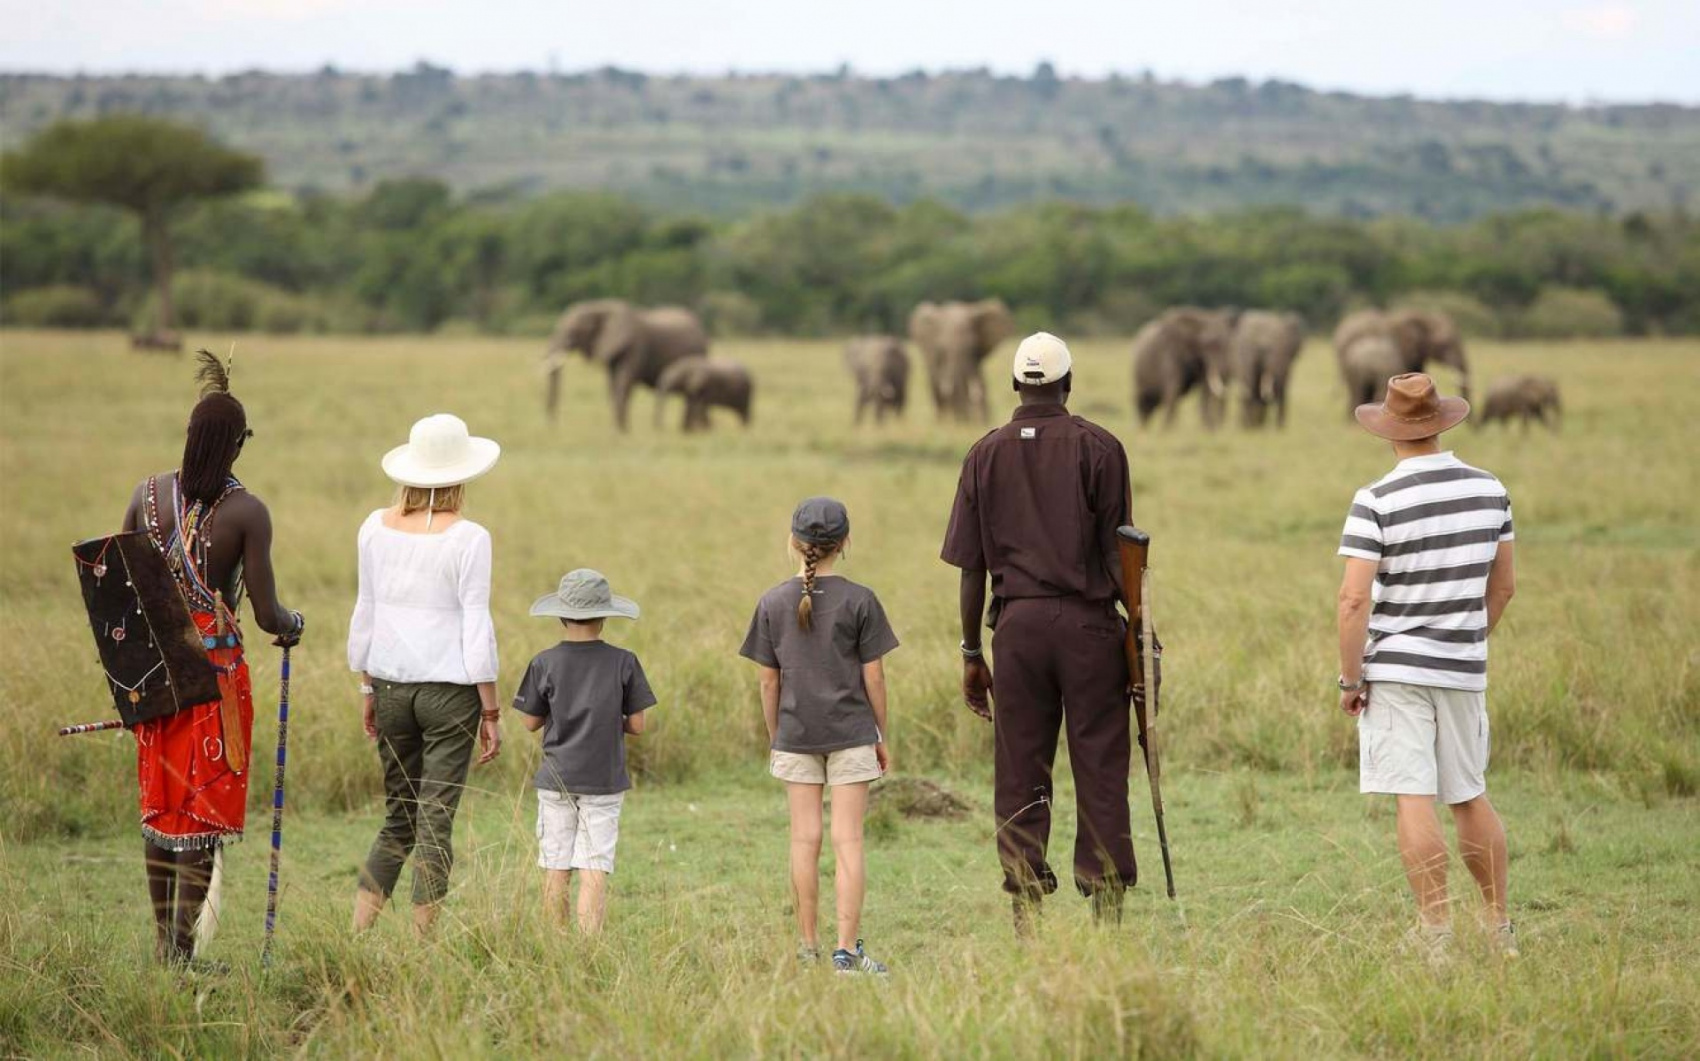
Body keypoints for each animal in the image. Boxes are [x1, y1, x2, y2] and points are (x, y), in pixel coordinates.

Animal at [540, 299, 707, 431]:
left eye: (573, 331)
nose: (552, 427)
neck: (601, 307)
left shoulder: (635, 347)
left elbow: (623, 383)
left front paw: (621, 432)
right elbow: (612, 386)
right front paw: (618, 431)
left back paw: (692, 431)